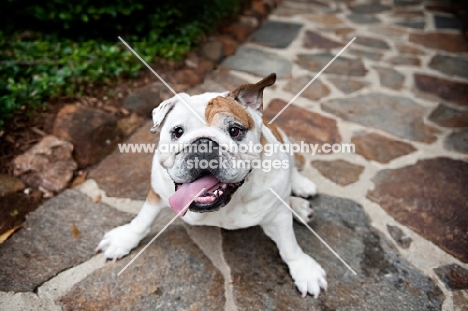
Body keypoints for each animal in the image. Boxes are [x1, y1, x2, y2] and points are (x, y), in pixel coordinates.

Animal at [97, 72, 328, 298]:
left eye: (234, 131)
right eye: (177, 132)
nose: (203, 144)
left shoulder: (279, 216)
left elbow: (289, 245)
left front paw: (304, 270)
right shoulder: (158, 193)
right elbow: (143, 219)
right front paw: (125, 238)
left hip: (285, 141)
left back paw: (300, 196)